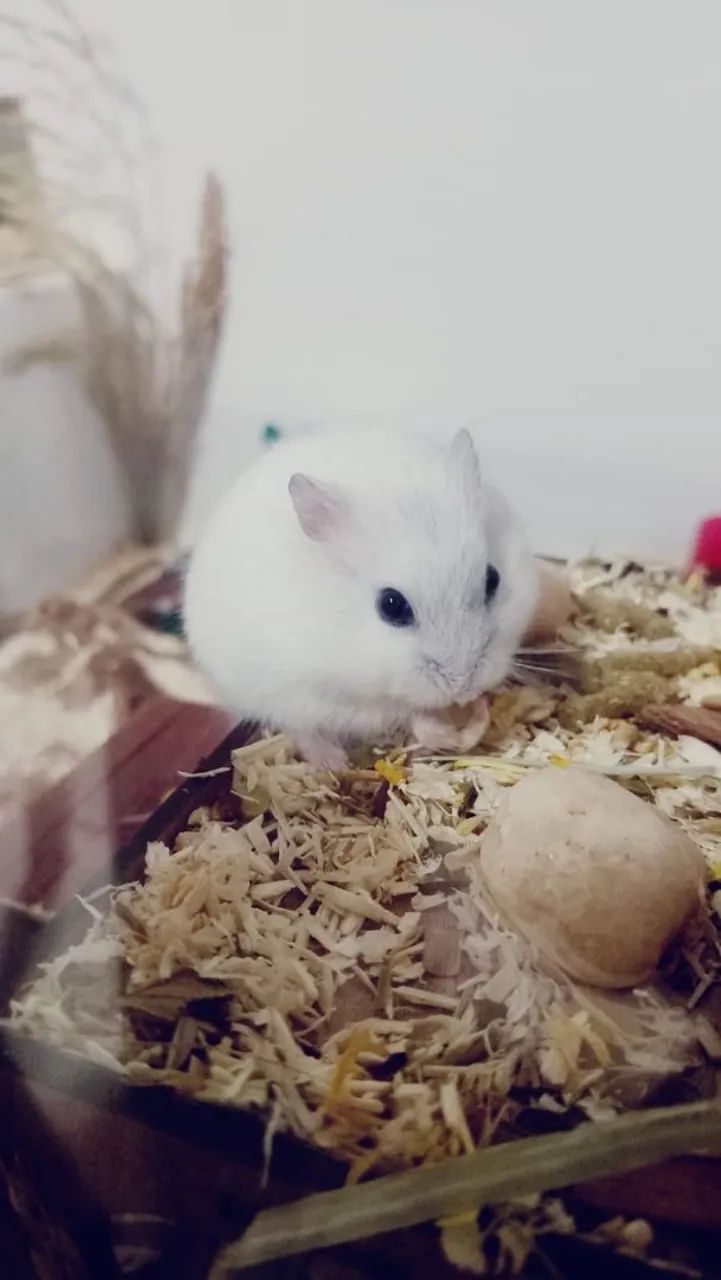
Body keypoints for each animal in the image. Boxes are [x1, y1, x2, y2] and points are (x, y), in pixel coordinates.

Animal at [184, 427, 537, 767]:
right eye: (391, 606)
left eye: (492, 580)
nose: (462, 687)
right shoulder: (329, 693)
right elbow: (403, 710)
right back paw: (333, 764)